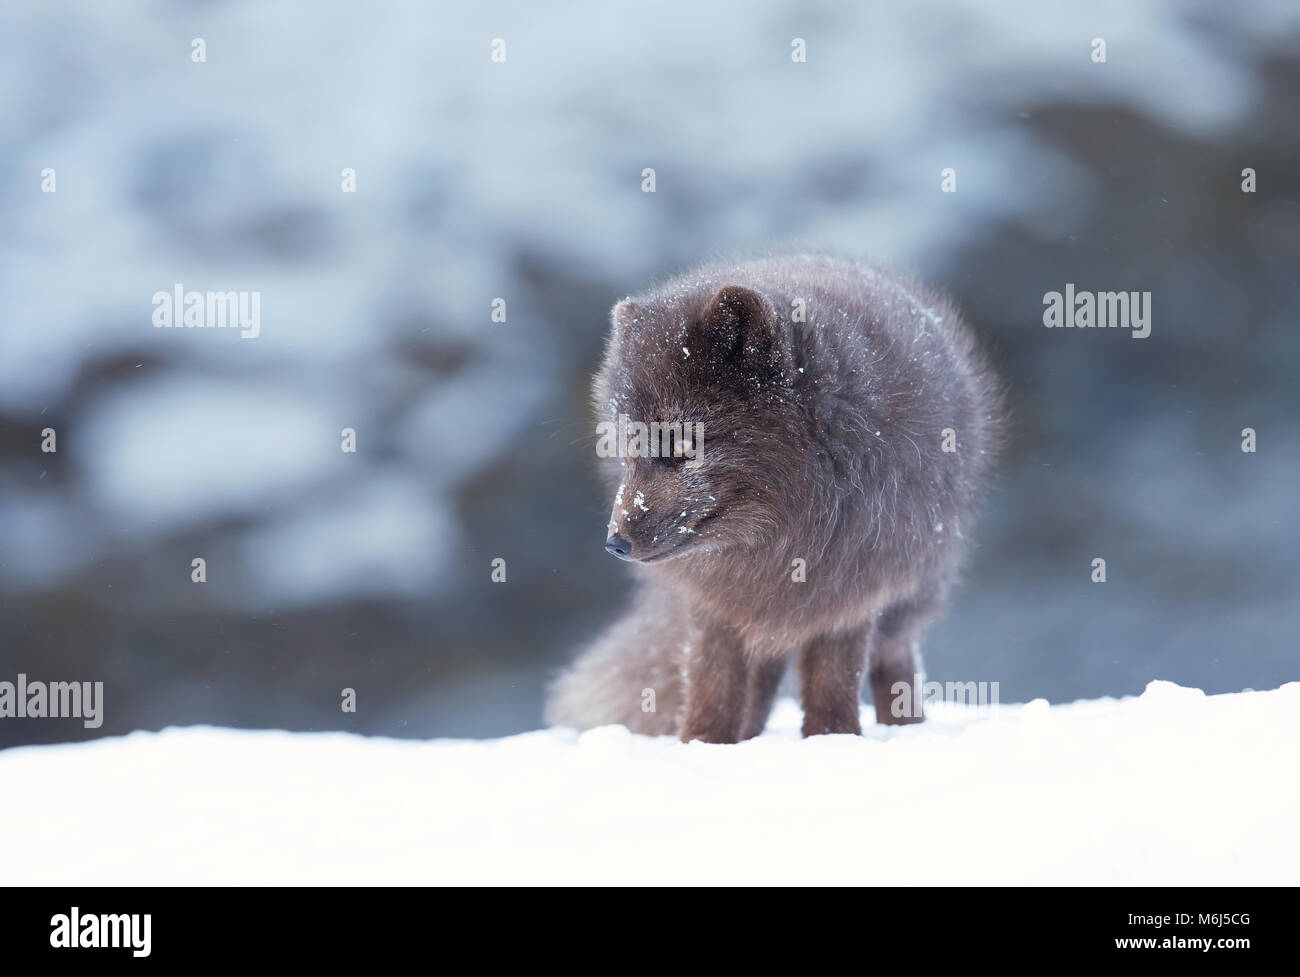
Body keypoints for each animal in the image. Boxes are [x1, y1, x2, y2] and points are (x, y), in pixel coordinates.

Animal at [545, 254, 1002, 743]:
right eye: (625, 445)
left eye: (683, 446)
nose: (615, 544)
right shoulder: (716, 604)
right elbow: (712, 683)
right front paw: (702, 745)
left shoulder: (851, 589)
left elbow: (833, 682)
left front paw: (832, 741)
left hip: (909, 595)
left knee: (893, 660)